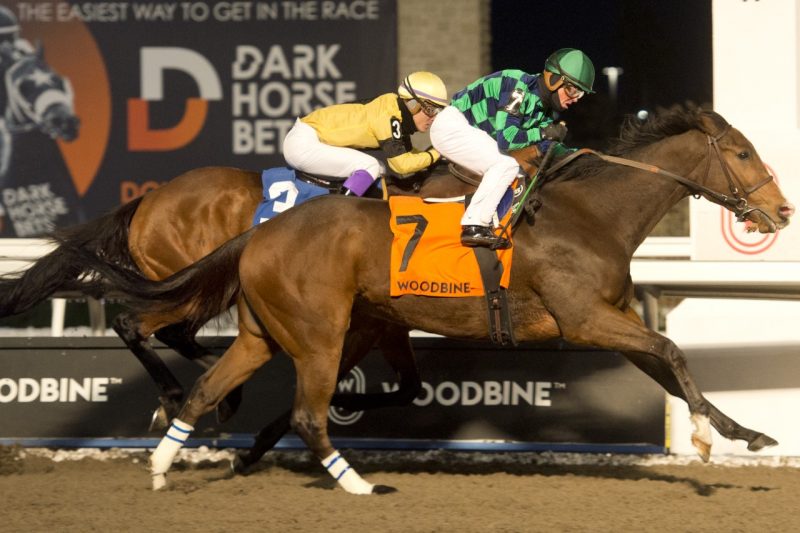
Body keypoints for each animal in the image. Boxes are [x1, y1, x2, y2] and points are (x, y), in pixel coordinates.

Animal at [75, 104, 792, 490]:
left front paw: (745, 432)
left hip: (287, 324)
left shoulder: (608, 316)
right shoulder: (585, 319)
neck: (590, 213)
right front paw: (704, 436)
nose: (782, 210)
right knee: (149, 327)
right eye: (741, 152)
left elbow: (672, 366)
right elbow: (672, 352)